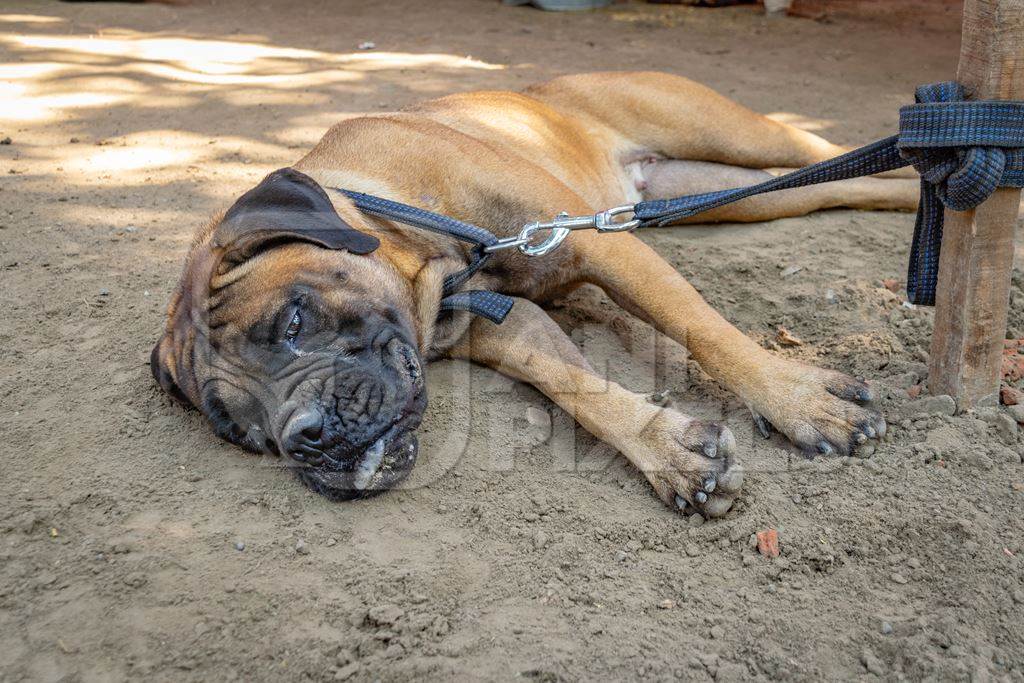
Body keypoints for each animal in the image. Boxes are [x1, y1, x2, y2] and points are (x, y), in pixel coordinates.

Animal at [153, 70, 921, 518]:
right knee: (839, 183)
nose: (303, 436)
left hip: (731, 132)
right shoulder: (508, 322)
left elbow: (699, 326)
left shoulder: (599, 241)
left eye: (292, 320)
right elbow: (576, 386)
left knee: (828, 151)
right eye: (239, 430)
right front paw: (670, 450)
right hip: (731, 196)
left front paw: (800, 400)